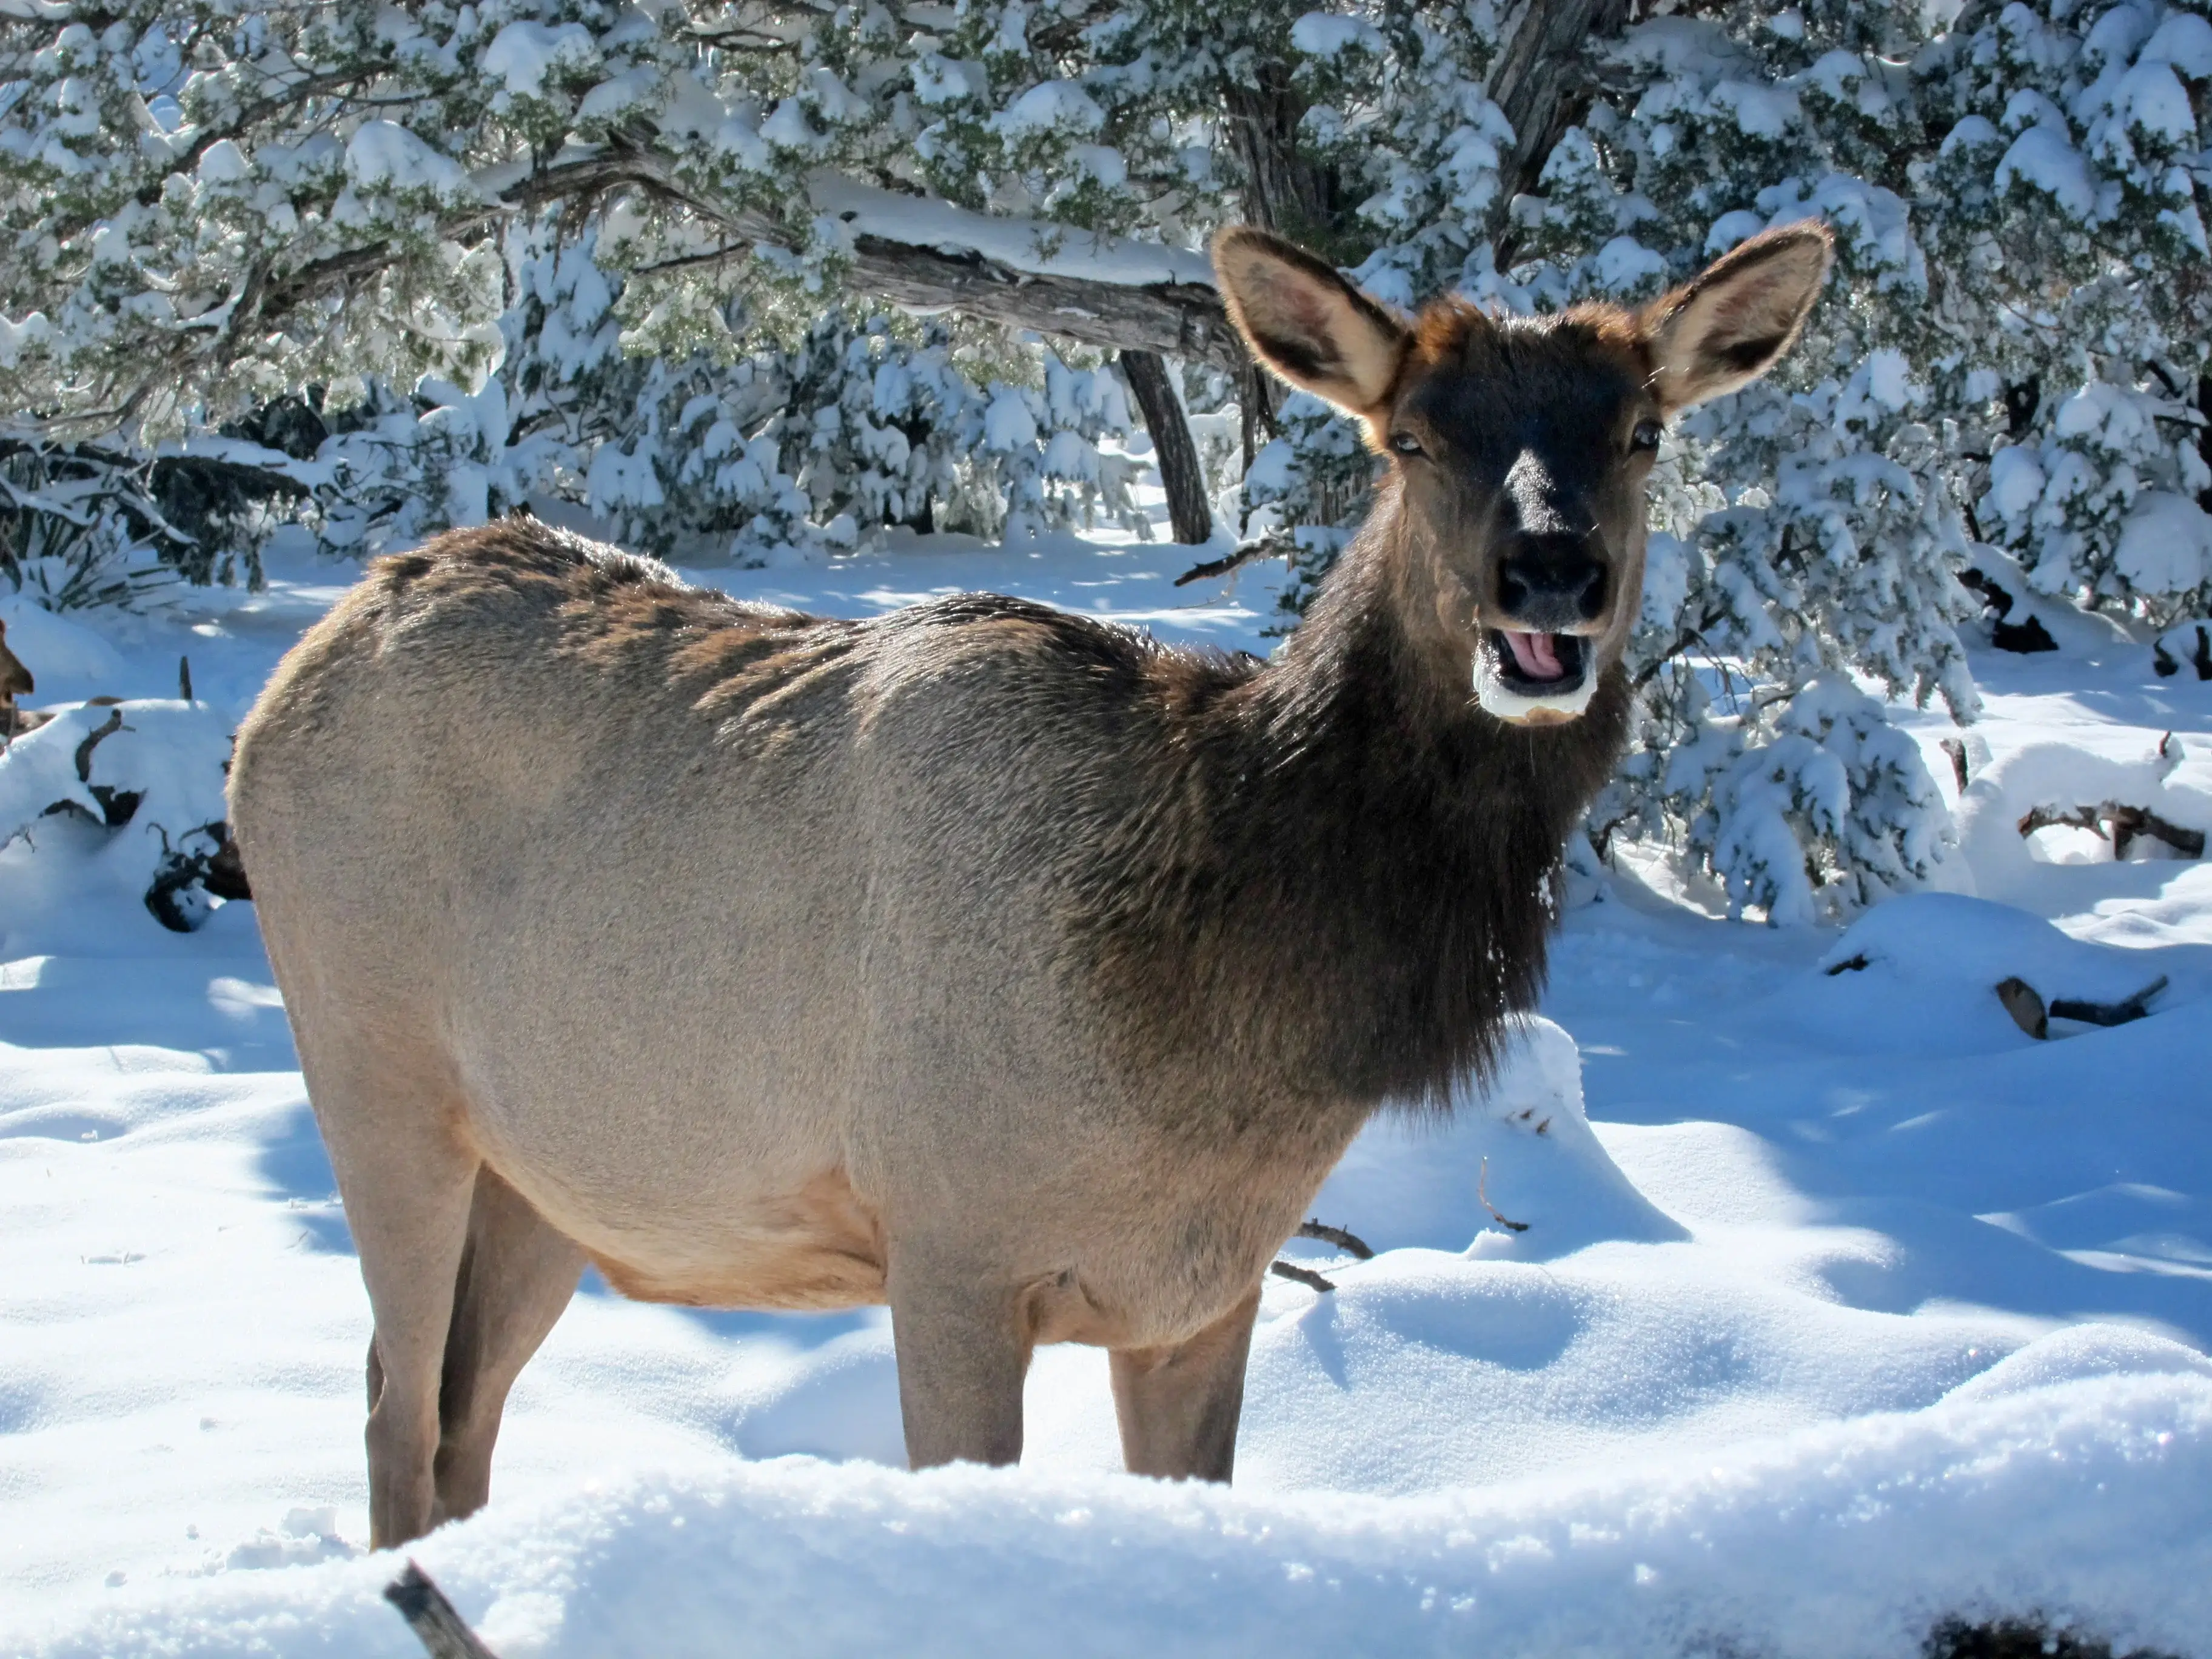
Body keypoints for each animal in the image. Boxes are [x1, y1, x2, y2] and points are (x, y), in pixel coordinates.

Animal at [226, 220, 1832, 1548]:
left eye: (1642, 429)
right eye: (1417, 437)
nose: (1548, 574)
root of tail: (295, 672)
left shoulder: (1204, 1289)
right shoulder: (947, 1243)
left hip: (554, 1174)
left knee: (459, 1416)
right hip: (374, 1074)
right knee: (392, 1408)